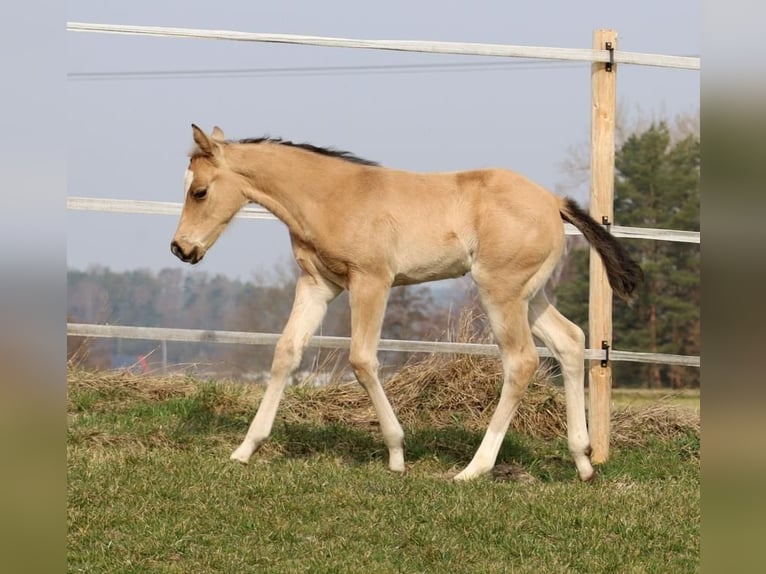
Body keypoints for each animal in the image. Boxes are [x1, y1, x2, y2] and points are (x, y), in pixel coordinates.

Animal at [171, 124, 642, 481]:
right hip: (531, 295)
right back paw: (583, 462)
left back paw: (473, 469)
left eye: (199, 191)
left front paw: (397, 455)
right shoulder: (317, 284)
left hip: (501, 292)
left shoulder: (371, 281)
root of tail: (553, 201)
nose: (180, 249)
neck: (332, 196)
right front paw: (245, 449)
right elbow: (286, 352)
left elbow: (362, 359)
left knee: (522, 361)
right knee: (569, 340)